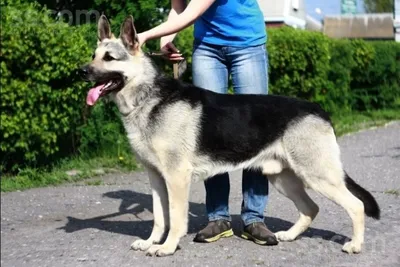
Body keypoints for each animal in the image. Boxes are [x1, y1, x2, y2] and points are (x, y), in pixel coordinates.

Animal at [79, 15, 382, 258]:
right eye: (94, 55)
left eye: (109, 58)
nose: (80, 71)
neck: (148, 98)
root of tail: (319, 109)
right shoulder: (156, 179)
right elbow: (159, 218)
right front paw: (151, 242)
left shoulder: (176, 178)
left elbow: (175, 218)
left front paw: (167, 247)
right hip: (284, 179)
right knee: (311, 208)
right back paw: (289, 235)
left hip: (317, 176)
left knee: (355, 205)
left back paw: (355, 245)